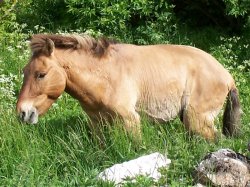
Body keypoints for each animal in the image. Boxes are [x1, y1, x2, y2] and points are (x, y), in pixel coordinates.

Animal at [15, 34, 240, 141]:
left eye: (41, 74)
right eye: (25, 71)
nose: (22, 113)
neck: (105, 75)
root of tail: (228, 76)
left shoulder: (130, 121)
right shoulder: (97, 123)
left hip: (197, 120)